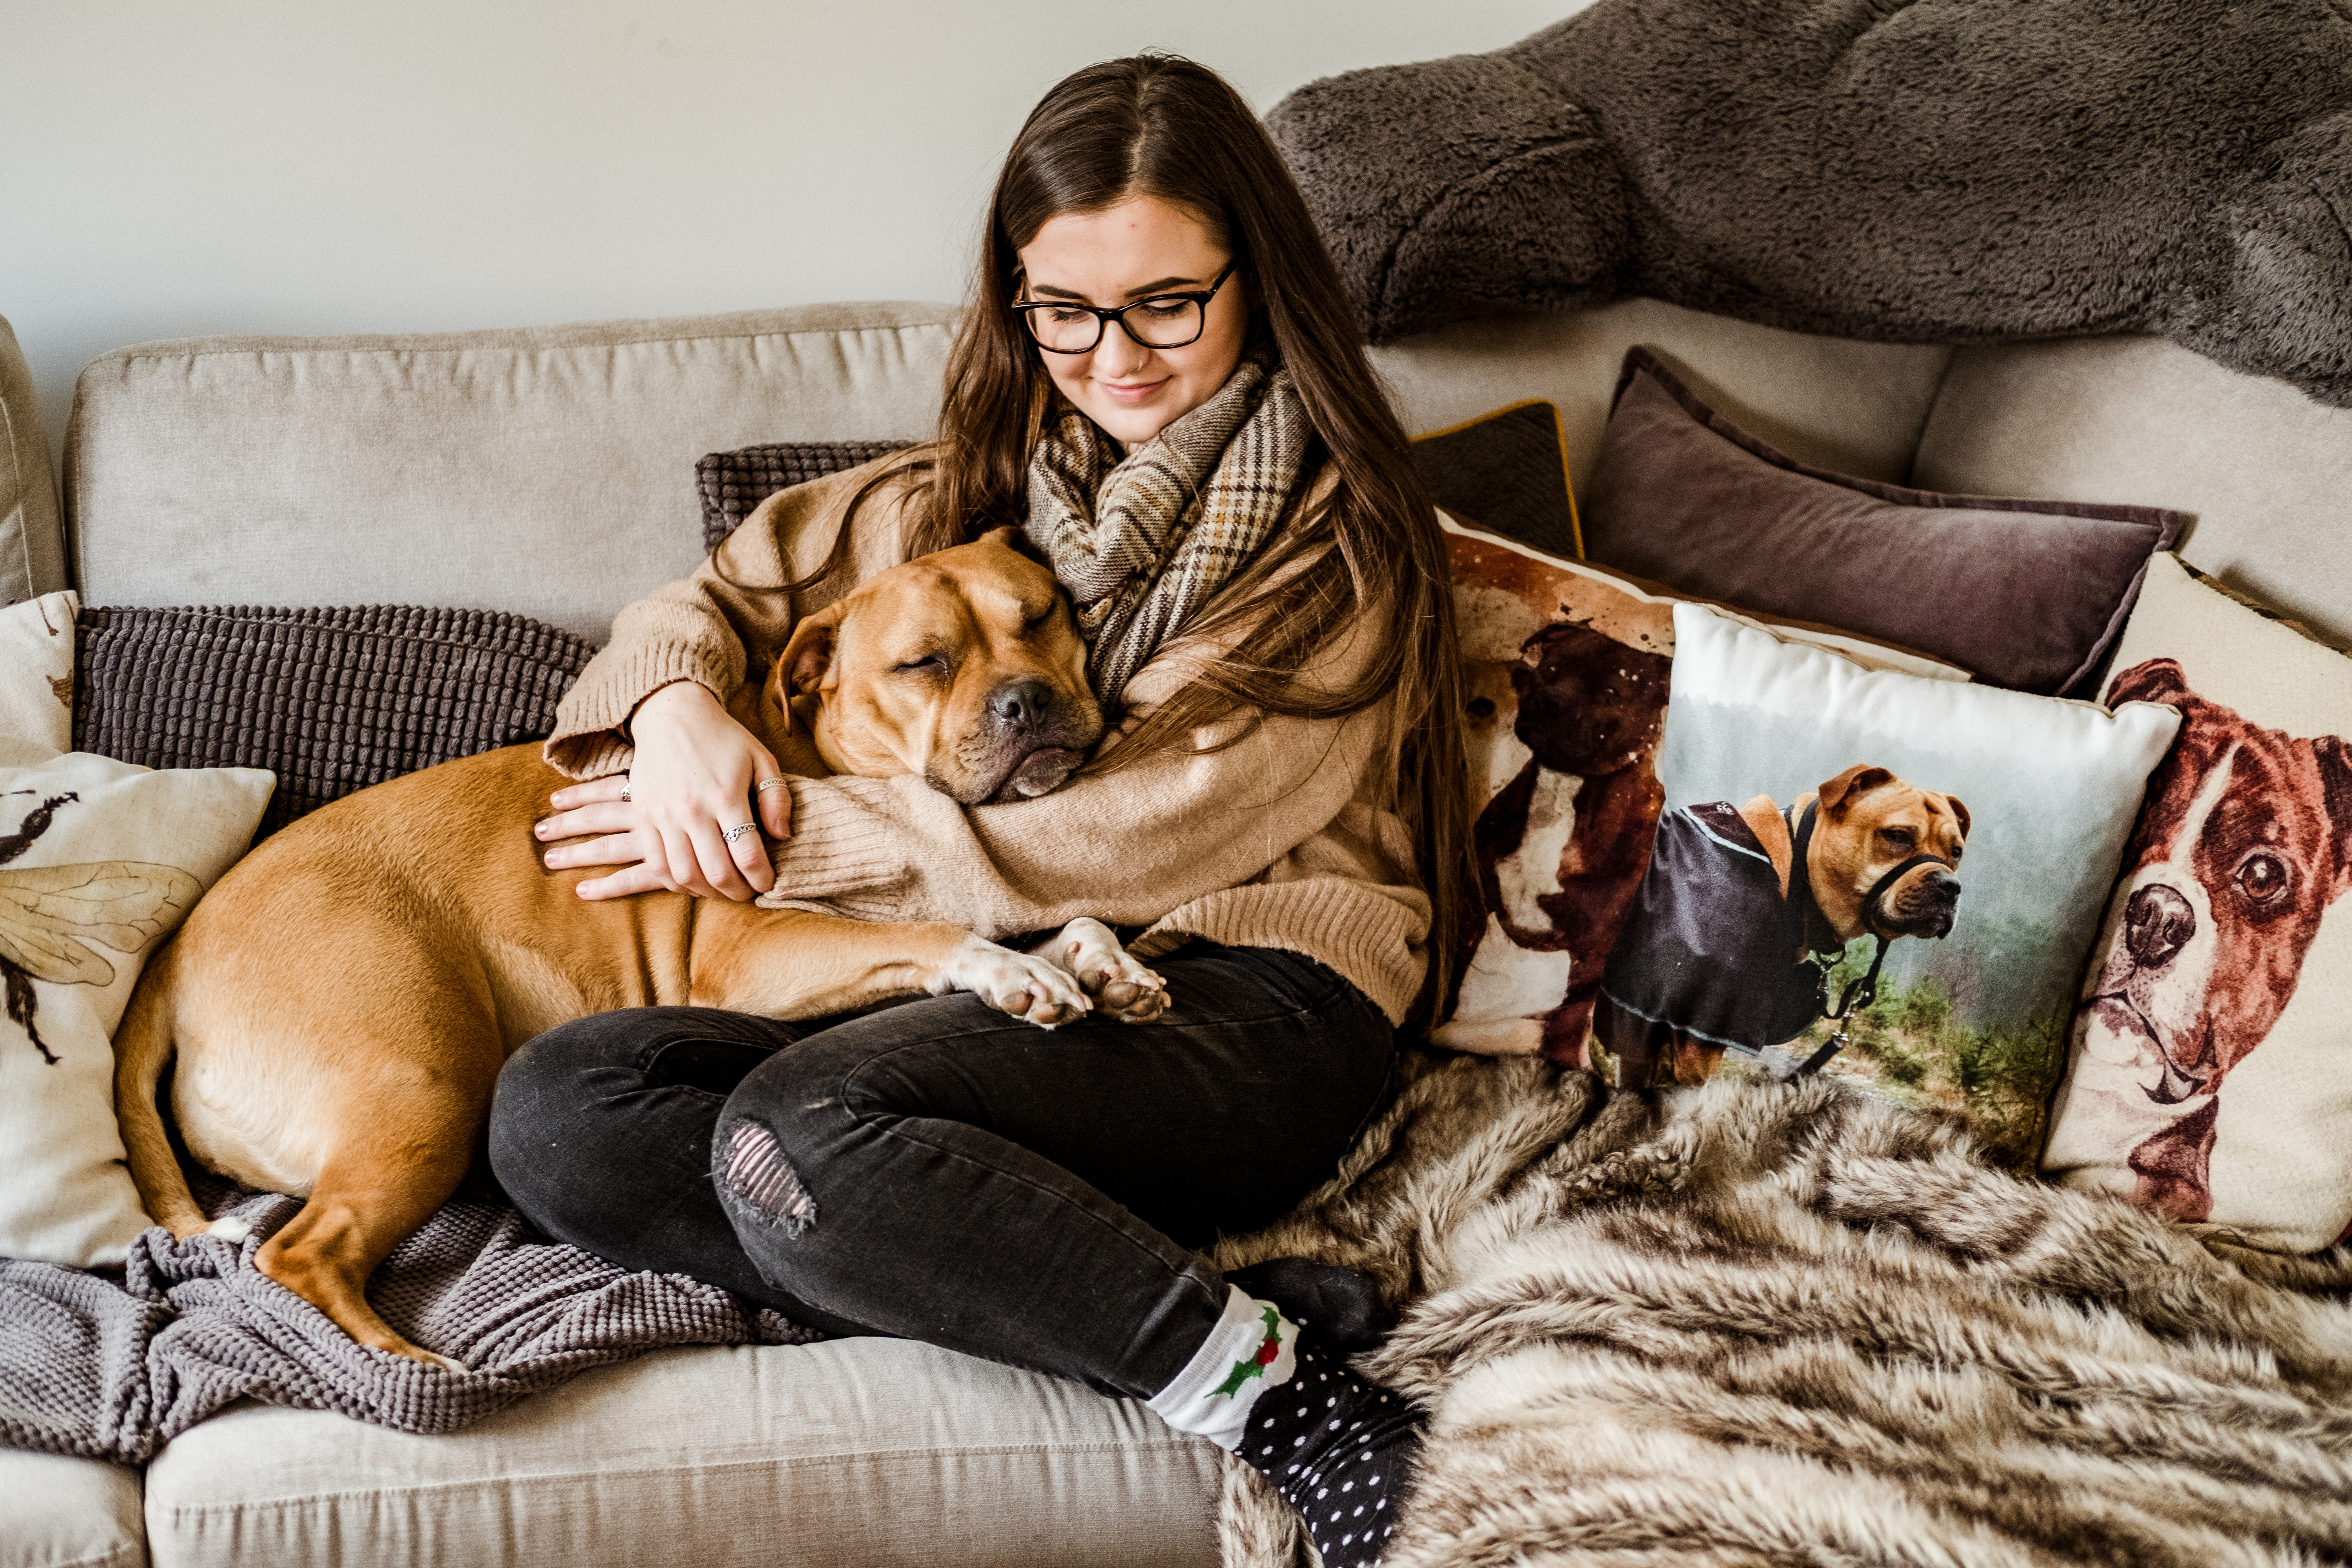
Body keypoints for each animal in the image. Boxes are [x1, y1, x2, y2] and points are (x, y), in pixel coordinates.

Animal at [117, 526, 1167, 1363]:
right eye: (924, 664)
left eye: (1044, 616)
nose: (1027, 699)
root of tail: (176, 954)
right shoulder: (751, 956)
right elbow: (944, 925)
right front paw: (1013, 970)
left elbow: (1041, 911)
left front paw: (1100, 957)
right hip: (424, 1085)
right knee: (302, 1254)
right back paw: (411, 1365)